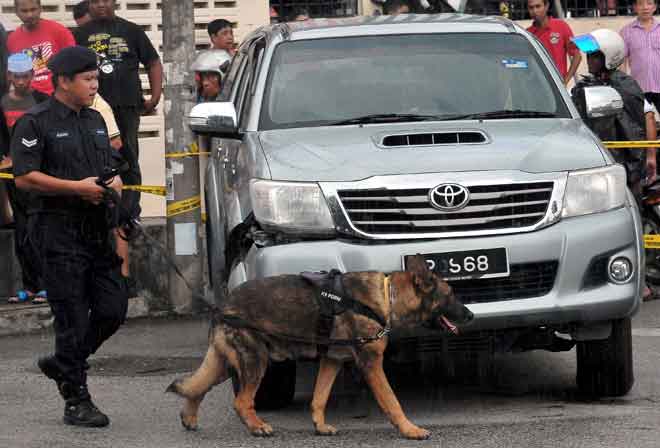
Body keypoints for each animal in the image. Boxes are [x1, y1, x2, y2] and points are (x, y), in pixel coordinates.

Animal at [168, 256, 472, 440]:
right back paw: (257, 427)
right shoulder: (371, 364)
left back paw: (189, 418)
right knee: (241, 401)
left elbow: (320, 397)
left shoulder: (332, 361)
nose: (470, 315)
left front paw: (320, 425)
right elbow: (392, 401)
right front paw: (410, 430)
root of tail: (222, 306)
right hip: (255, 361)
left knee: (197, 387)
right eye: (450, 295)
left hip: (225, 363)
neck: (388, 296)